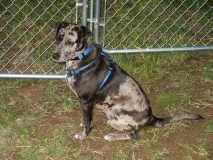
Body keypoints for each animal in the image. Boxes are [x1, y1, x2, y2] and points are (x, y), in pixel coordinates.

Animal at [52, 21, 202, 141]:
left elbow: (88, 122)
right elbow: (87, 119)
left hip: (114, 110)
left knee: (134, 134)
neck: (80, 58)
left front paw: (83, 135)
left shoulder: (86, 101)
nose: (54, 55)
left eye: (70, 42)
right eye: (59, 37)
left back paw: (112, 135)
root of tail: (151, 117)